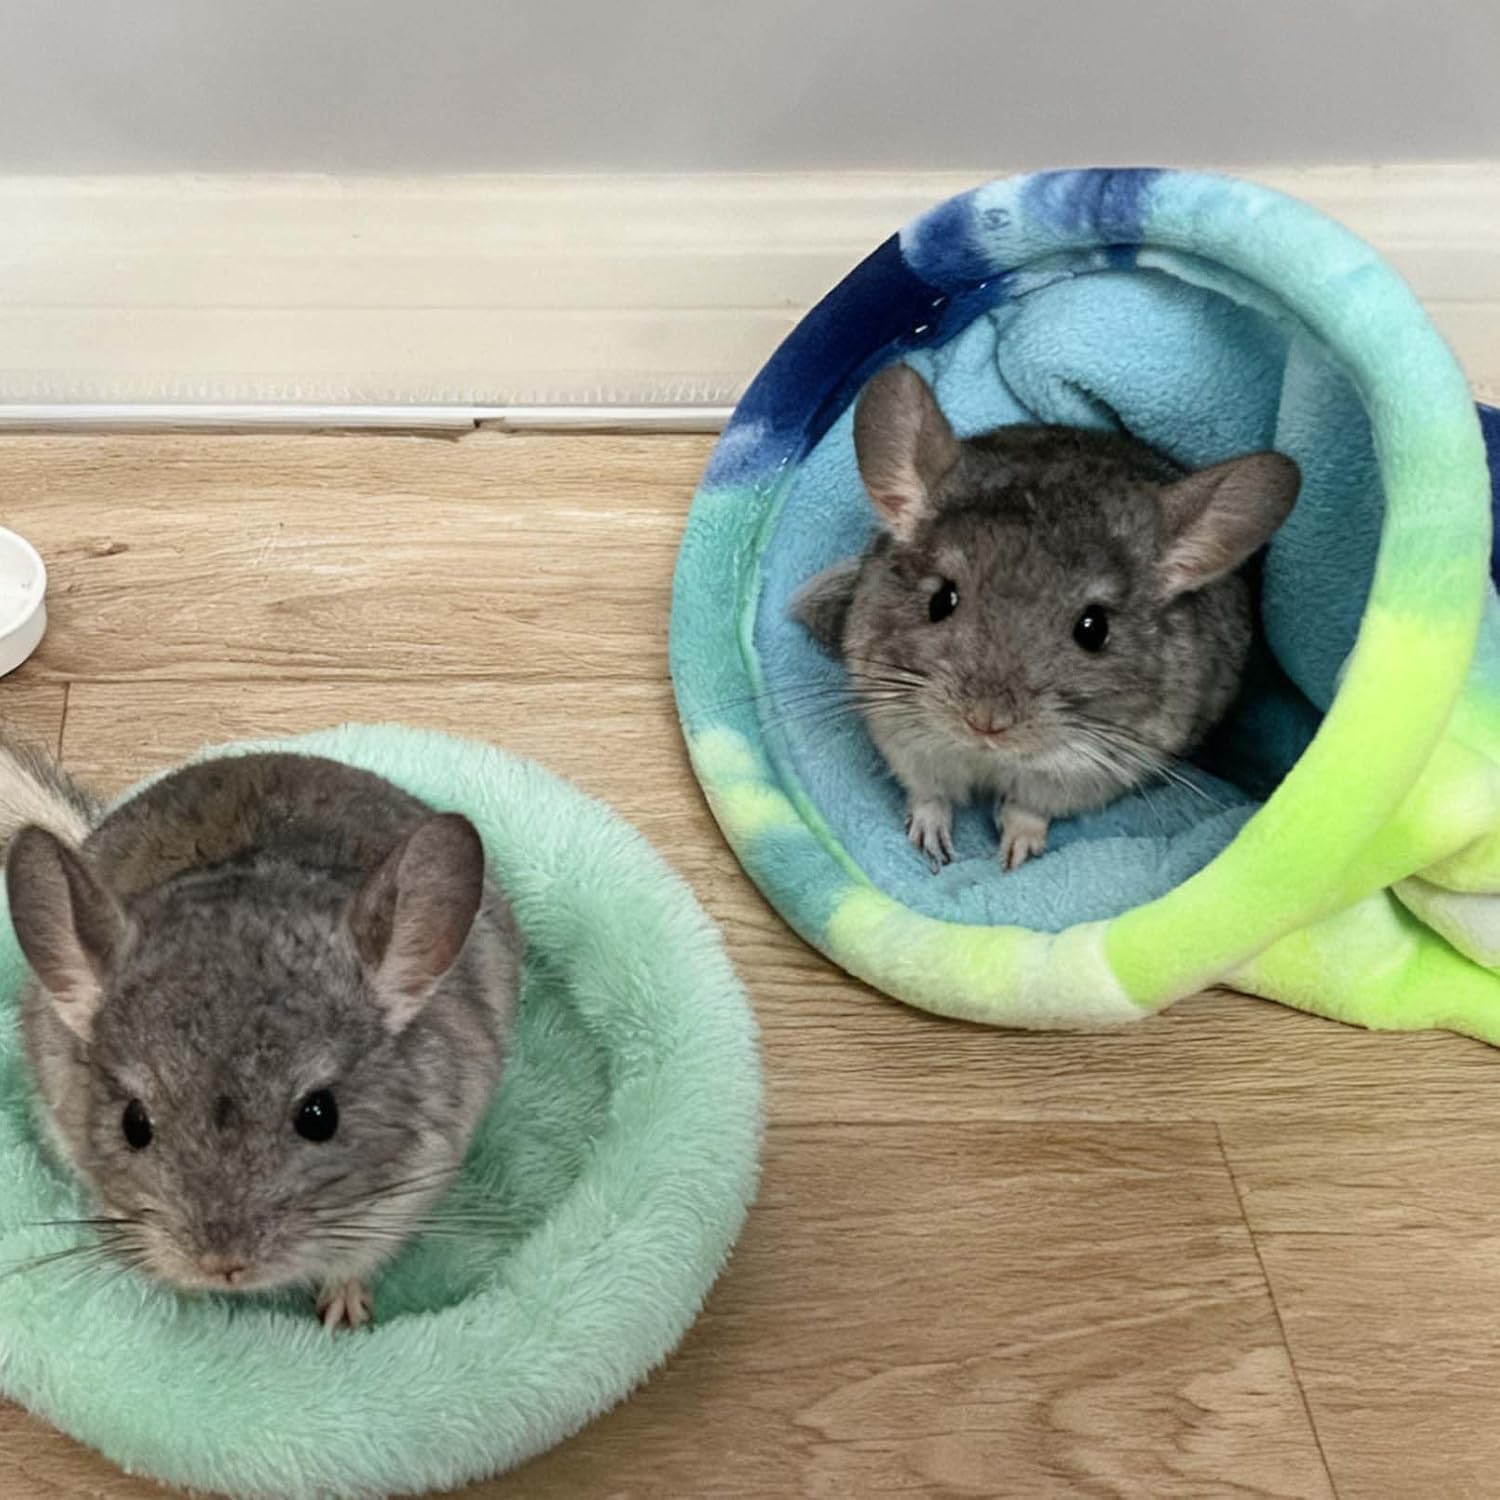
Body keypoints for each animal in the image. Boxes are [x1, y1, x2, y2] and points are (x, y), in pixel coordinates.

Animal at [2, 749, 521, 1329]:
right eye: (133, 1125)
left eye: (320, 1116)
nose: (223, 1266)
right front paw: (183, 1298)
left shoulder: (409, 1192)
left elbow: (352, 1262)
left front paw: (344, 1317)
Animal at [792, 365, 1300, 872]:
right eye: (941, 600)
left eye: (1094, 630)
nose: (986, 722)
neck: (989, 758)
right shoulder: (901, 736)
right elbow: (929, 795)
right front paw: (931, 842)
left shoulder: (1084, 775)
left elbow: (1027, 810)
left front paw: (1014, 855)